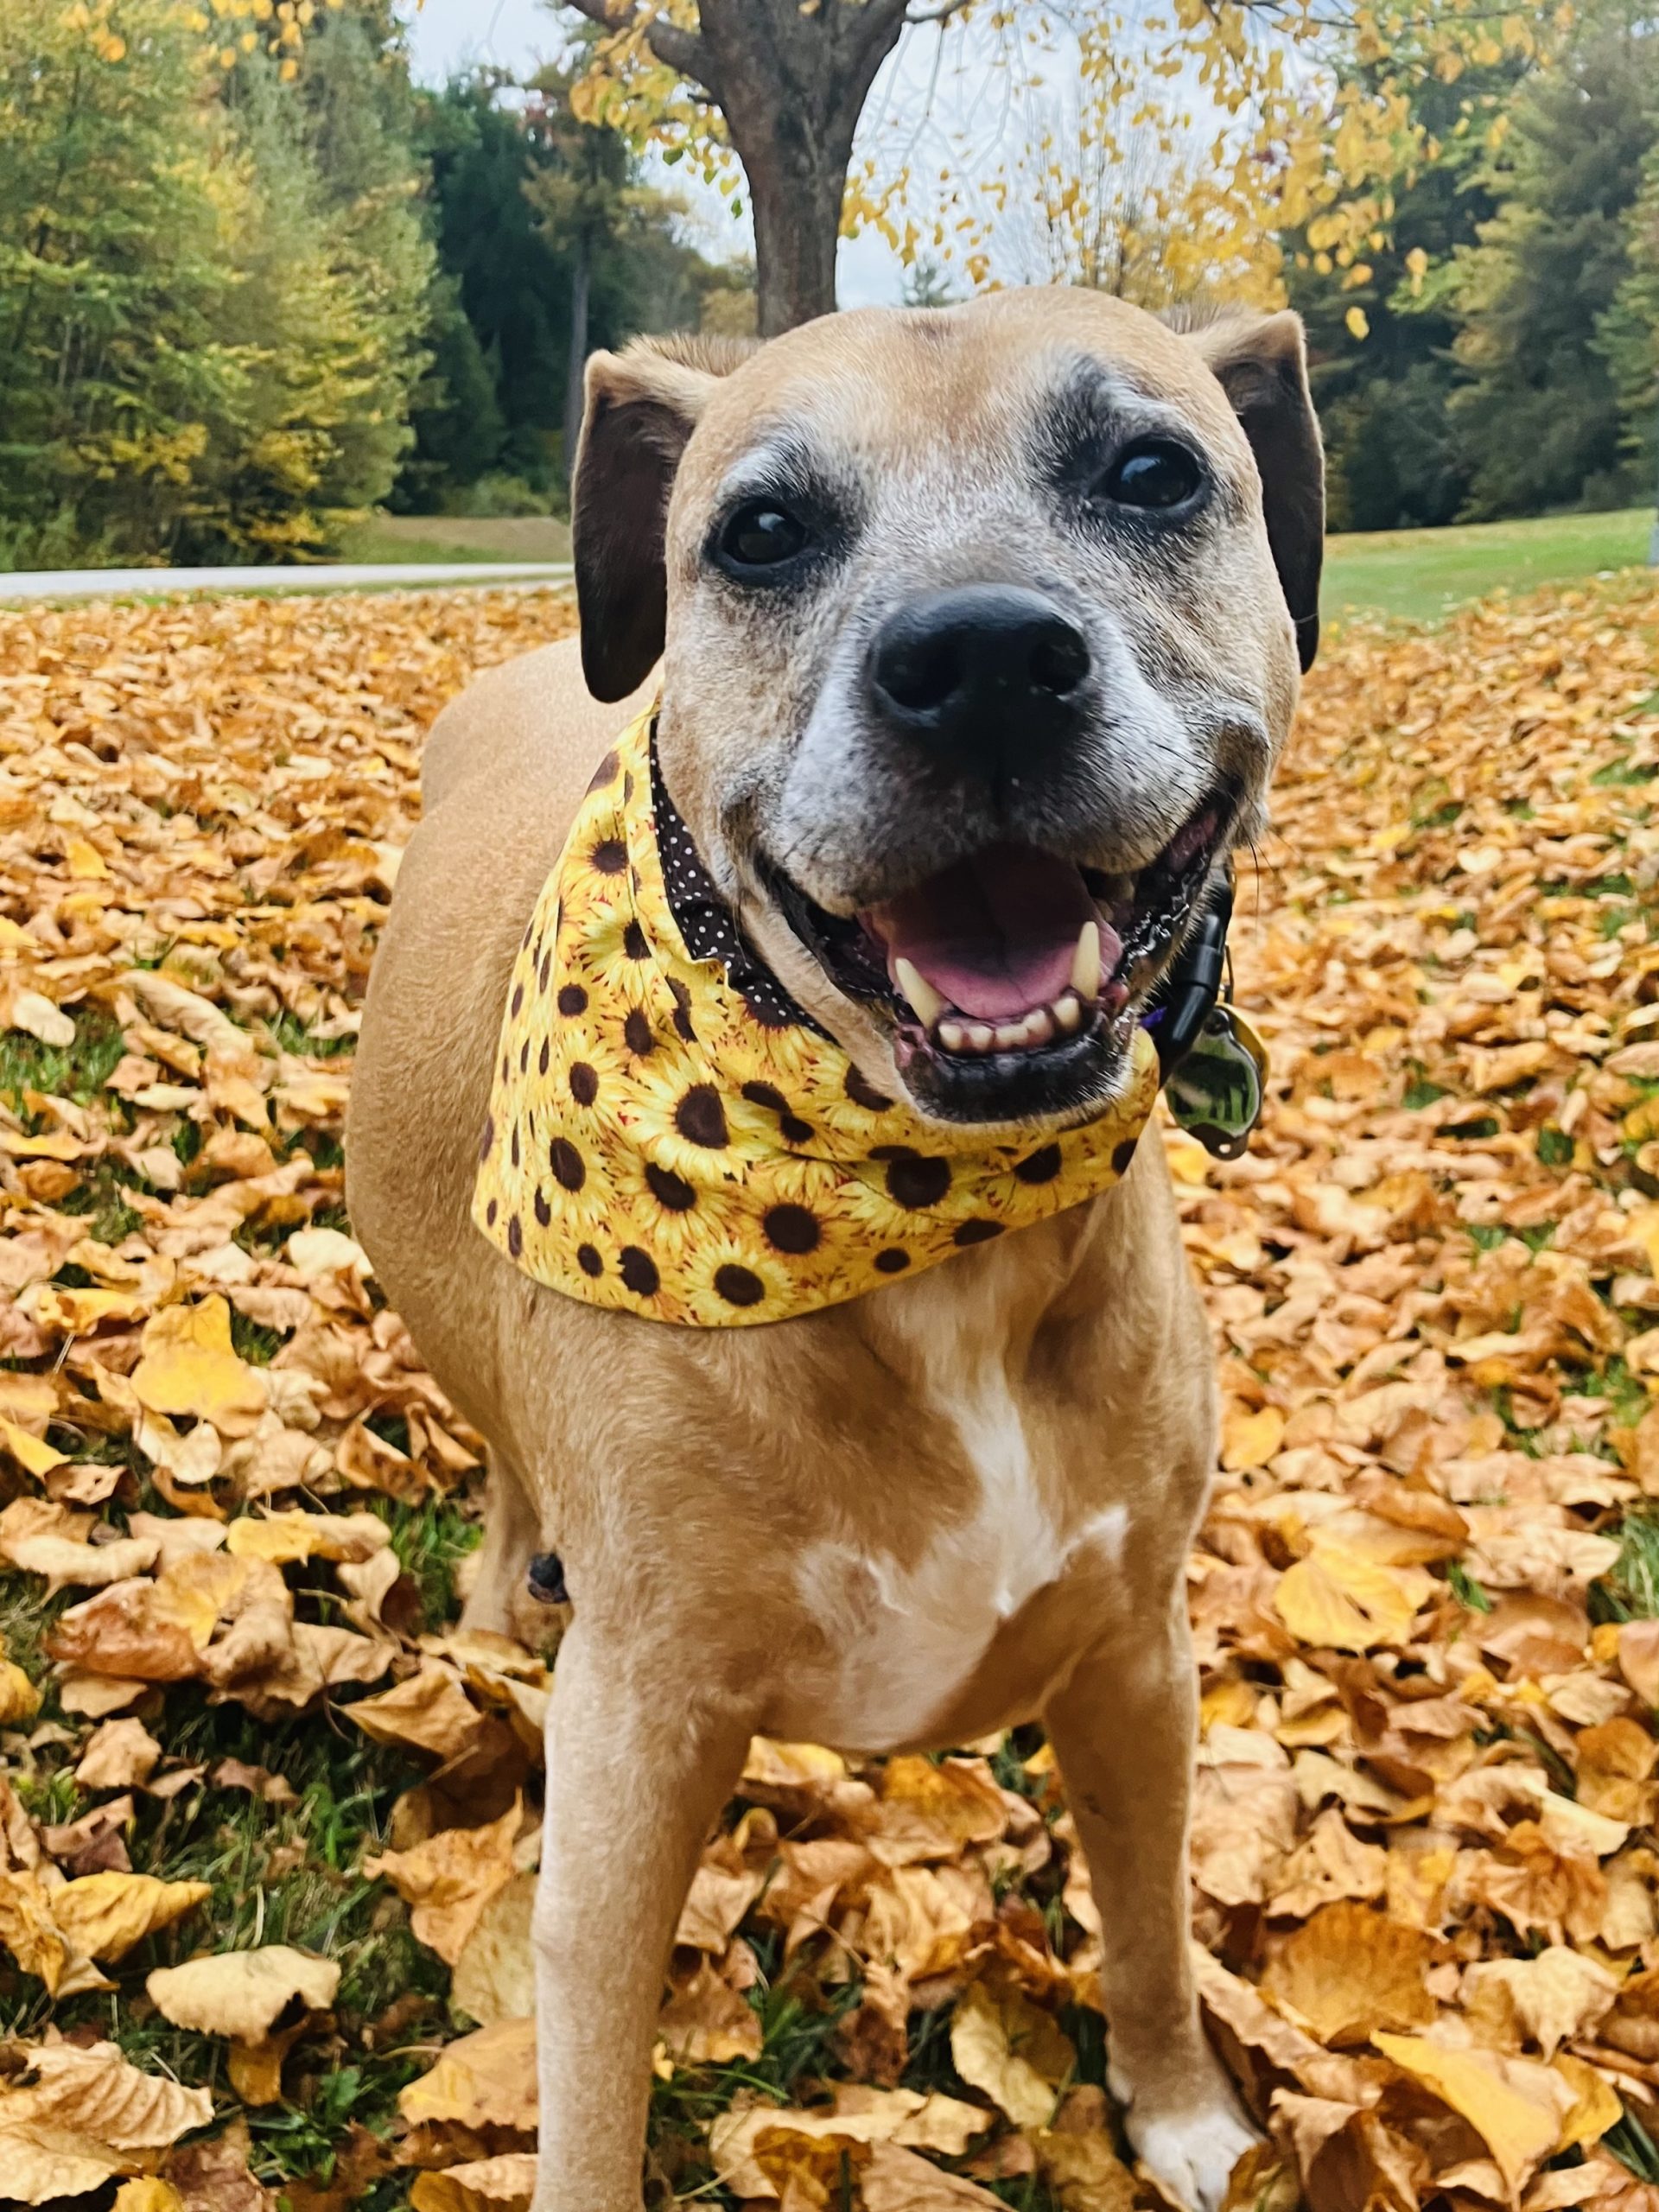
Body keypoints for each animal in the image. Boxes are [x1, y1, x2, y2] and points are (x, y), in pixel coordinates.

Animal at [347, 286, 1322, 2212]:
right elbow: (588, 2084)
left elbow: (1152, 1922)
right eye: (763, 531)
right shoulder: (635, 1743)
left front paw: (1182, 2110)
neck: (920, 1222)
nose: (985, 659)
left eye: (1154, 472)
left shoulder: (1137, 1660)